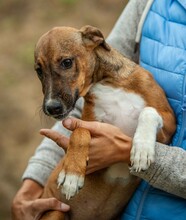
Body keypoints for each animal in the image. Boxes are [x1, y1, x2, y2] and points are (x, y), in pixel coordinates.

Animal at [33, 24, 176, 219]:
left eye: (67, 62)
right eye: (39, 71)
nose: (51, 107)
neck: (106, 82)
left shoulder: (169, 125)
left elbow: (148, 111)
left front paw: (142, 150)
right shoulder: (90, 121)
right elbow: (79, 133)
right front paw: (72, 174)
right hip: (56, 212)